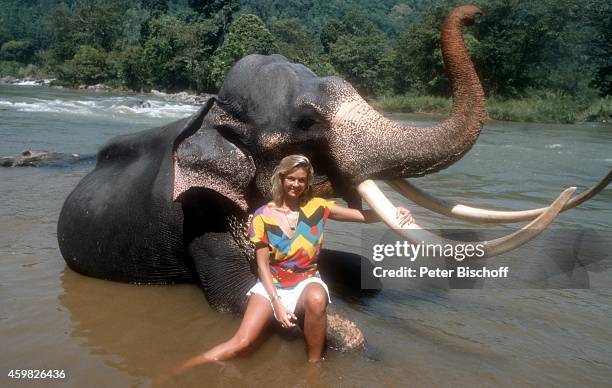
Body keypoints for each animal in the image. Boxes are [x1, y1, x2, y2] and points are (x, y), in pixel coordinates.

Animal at [56, 6, 608, 352]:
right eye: (306, 122)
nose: (474, 13)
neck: (209, 113)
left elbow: (357, 269)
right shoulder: (202, 214)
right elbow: (238, 295)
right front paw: (354, 342)